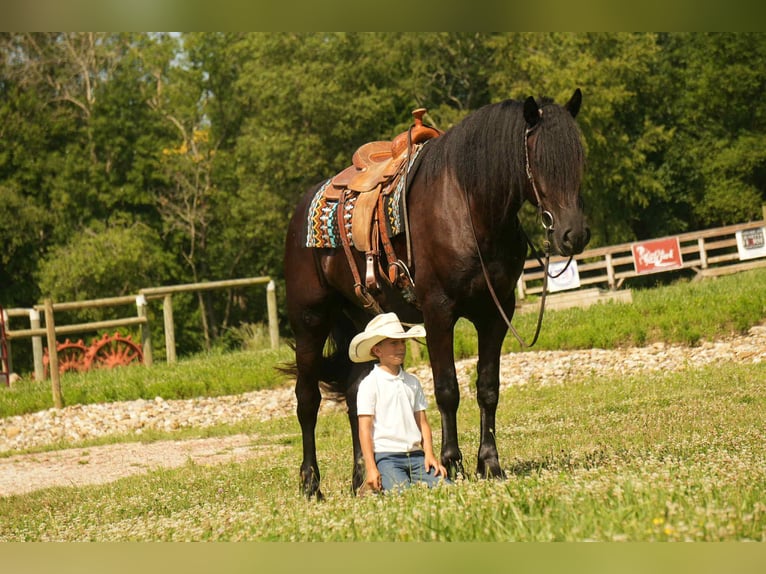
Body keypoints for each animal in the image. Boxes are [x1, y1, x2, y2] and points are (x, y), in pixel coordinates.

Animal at [284, 89, 590, 499]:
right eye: (539, 161)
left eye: (578, 158)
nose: (574, 234)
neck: (467, 208)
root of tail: (303, 208)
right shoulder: (438, 312)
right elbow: (447, 389)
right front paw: (451, 463)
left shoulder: (496, 314)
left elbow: (487, 388)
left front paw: (489, 463)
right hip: (310, 322)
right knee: (307, 400)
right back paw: (310, 483)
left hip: (362, 319)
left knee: (354, 395)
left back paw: (363, 479)